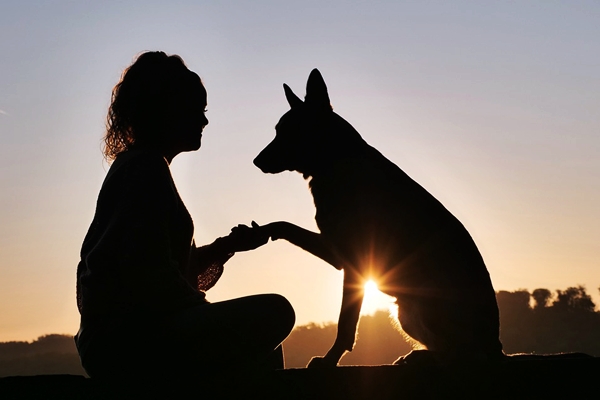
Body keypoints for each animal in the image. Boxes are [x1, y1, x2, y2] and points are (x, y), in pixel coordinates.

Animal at [255, 69, 504, 368]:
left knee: (464, 355)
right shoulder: (337, 254)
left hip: (419, 302)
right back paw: (418, 355)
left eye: (288, 132)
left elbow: (346, 324)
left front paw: (330, 359)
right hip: (405, 312)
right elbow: (284, 225)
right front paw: (260, 231)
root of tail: (497, 346)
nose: (256, 161)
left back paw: (421, 358)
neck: (337, 160)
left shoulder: (354, 266)